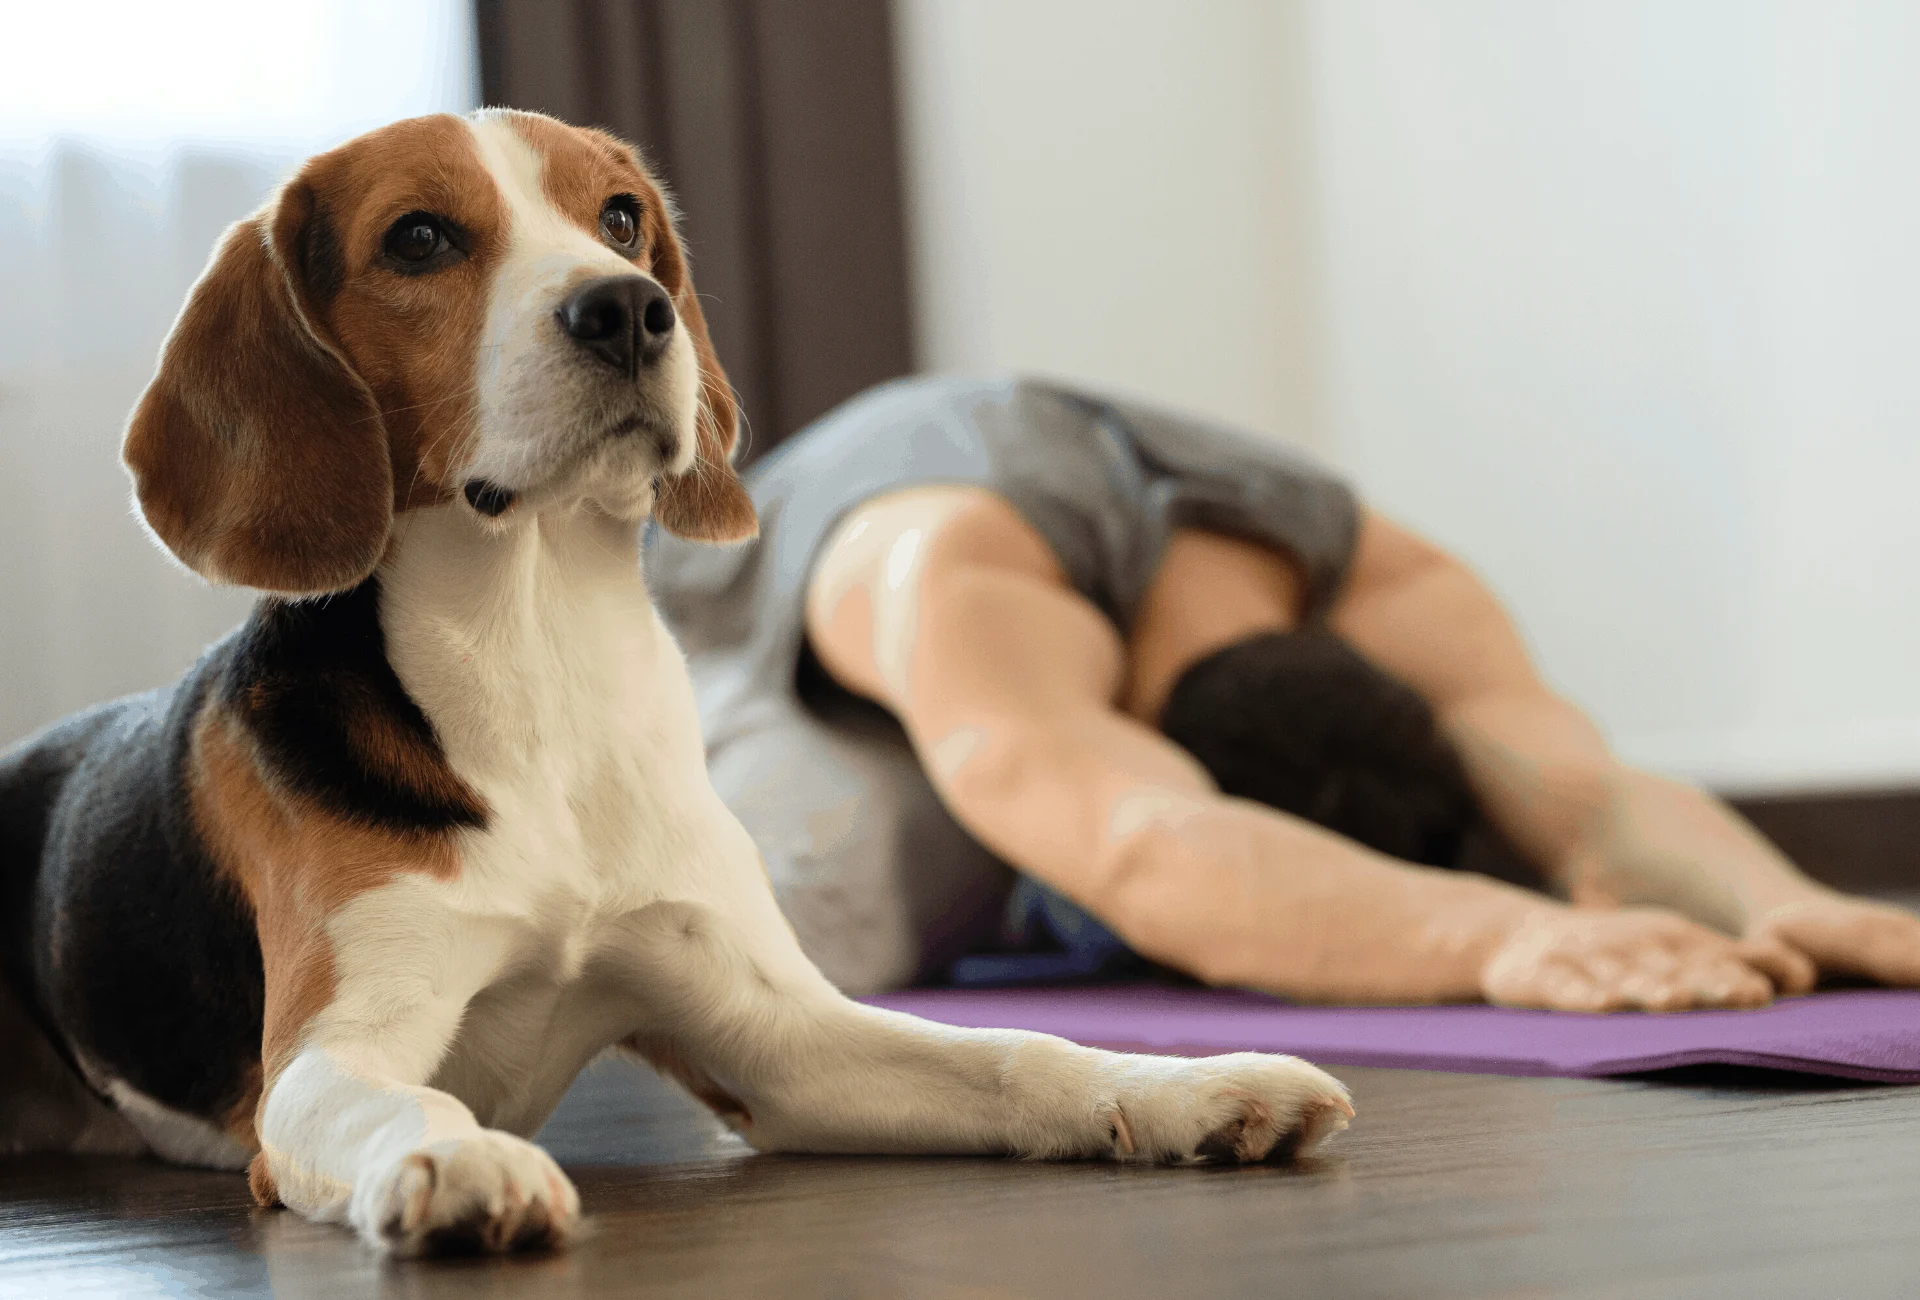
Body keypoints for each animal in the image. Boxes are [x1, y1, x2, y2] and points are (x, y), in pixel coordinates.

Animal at [0, 114, 1351, 1259]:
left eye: (620, 218)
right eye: (418, 239)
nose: (630, 310)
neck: (536, 659)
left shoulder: (780, 1035)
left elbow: (1022, 1055)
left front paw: (1189, 1087)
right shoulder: (325, 1056)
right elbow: (404, 1102)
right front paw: (463, 1162)